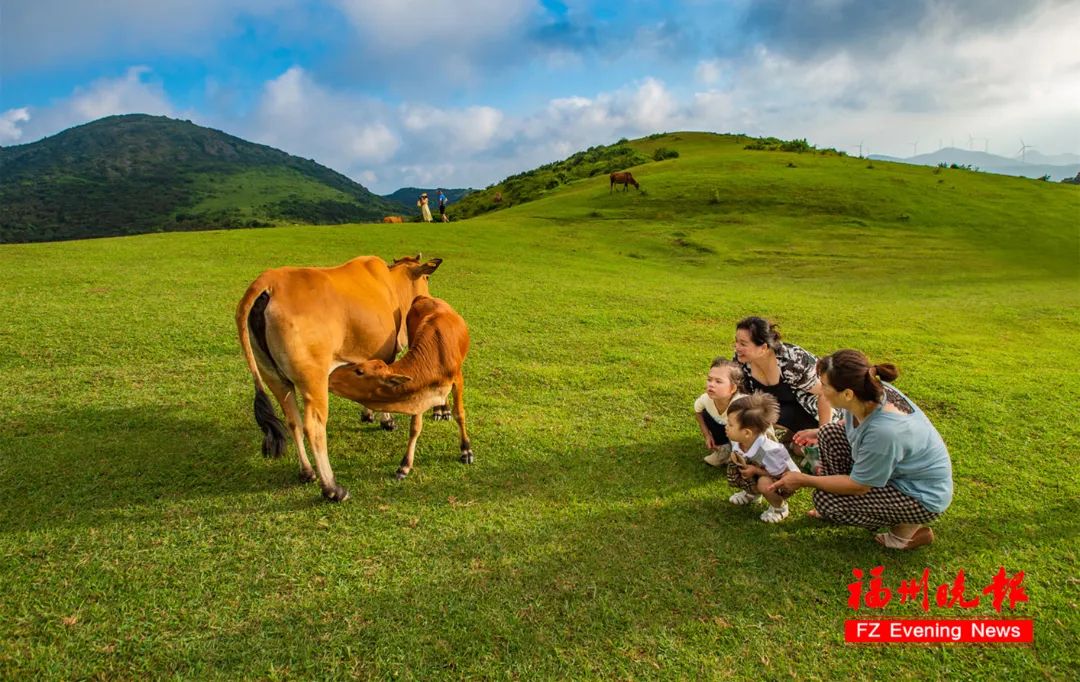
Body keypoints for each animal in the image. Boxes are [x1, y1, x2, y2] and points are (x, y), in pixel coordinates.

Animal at [235, 255, 438, 501]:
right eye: (427, 278)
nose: (428, 296)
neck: (392, 282)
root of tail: (269, 282)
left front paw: (368, 414)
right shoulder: (385, 355)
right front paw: (386, 420)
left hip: (273, 377)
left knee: (292, 421)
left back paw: (307, 472)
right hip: (315, 380)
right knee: (313, 428)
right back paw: (332, 488)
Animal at [328, 293, 473, 479]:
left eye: (359, 371)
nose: (331, 375)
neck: (436, 355)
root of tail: (424, 296)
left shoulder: (458, 378)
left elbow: (459, 414)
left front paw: (466, 450)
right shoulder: (419, 390)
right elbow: (415, 427)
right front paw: (405, 465)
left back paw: (443, 409)